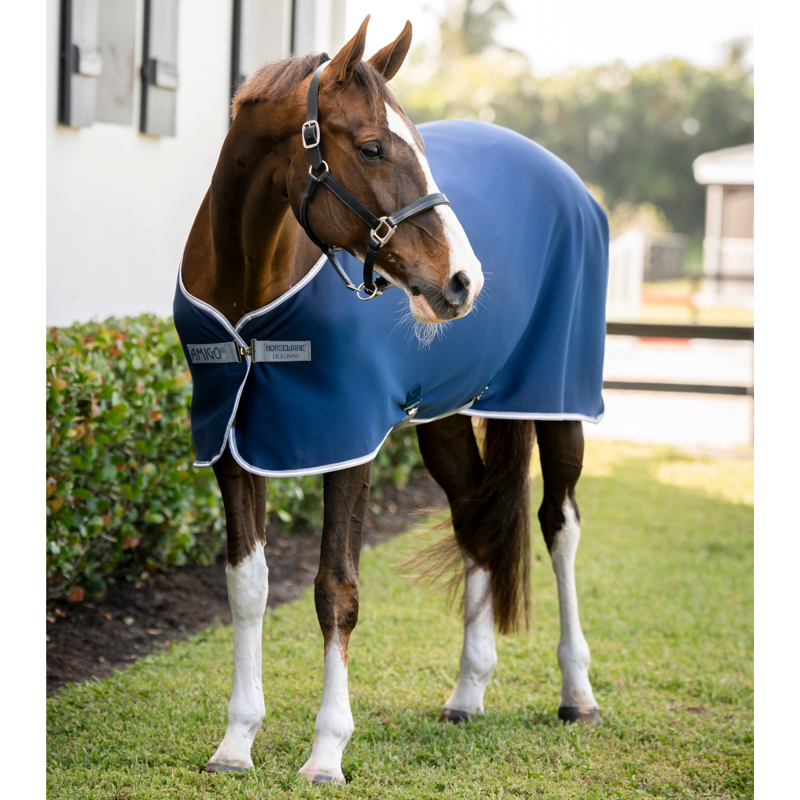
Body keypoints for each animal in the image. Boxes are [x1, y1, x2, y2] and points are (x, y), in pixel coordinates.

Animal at [176, 16, 607, 786]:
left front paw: (326, 751)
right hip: (446, 419)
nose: (464, 280)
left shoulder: (344, 437)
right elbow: (247, 586)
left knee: (559, 525)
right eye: (373, 146)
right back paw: (467, 692)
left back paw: (577, 693)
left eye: (422, 148)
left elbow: (335, 590)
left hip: (561, 405)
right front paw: (236, 741)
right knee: (476, 519)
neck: (249, 290)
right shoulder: (233, 442)